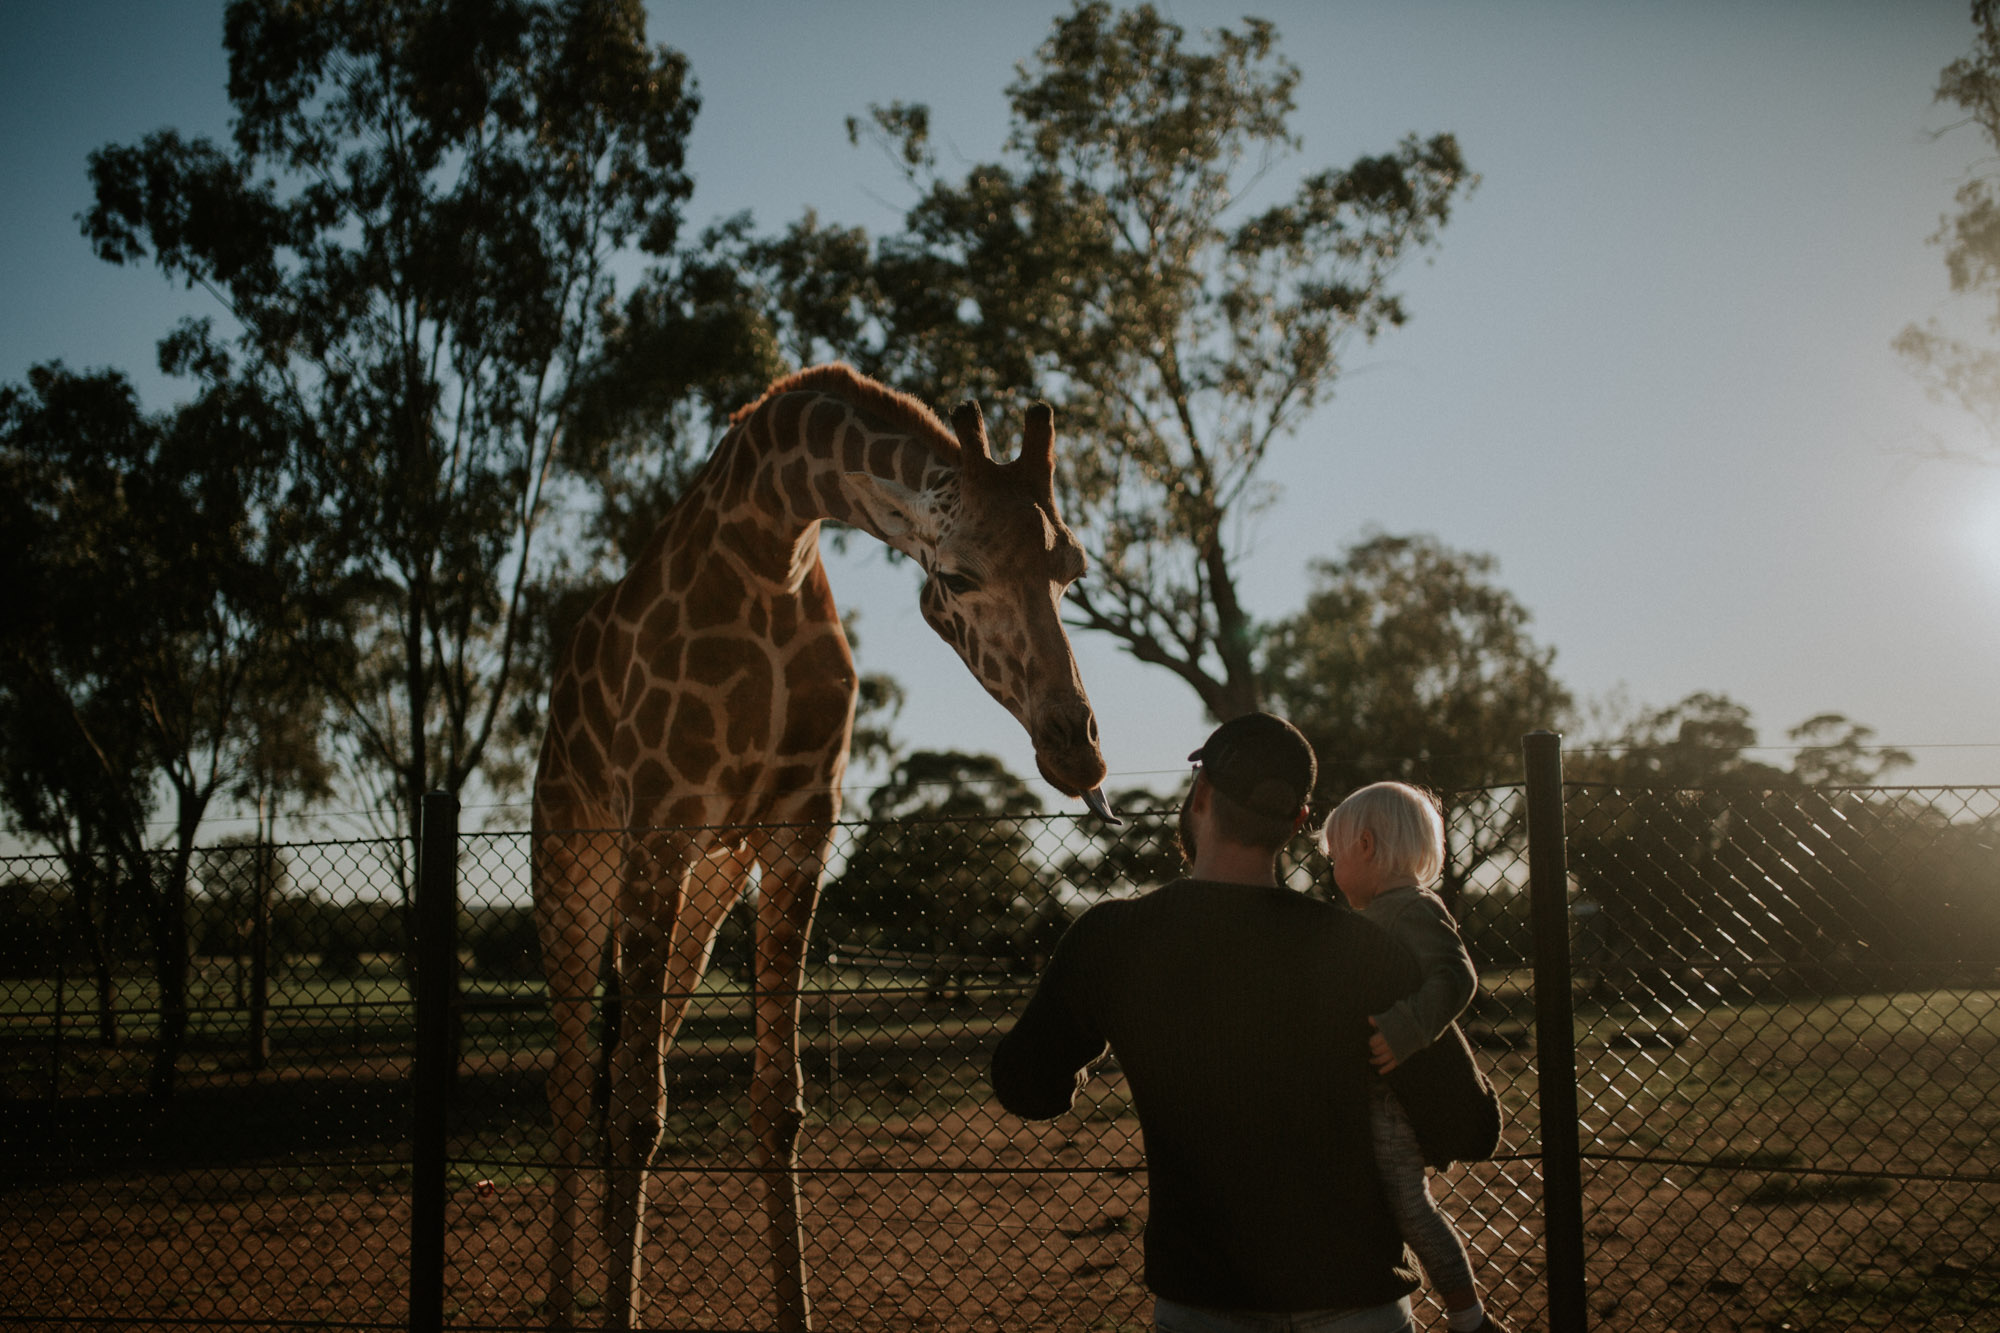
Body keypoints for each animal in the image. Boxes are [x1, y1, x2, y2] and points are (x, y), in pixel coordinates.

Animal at [532, 364, 1112, 1328]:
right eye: (958, 573)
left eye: (1072, 569)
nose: (1079, 753)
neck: (772, 543)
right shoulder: (661, 821)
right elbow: (637, 1109)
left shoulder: (799, 828)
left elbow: (775, 1103)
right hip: (576, 861)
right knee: (577, 1082)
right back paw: (563, 1305)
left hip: (708, 878)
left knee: (624, 1059)